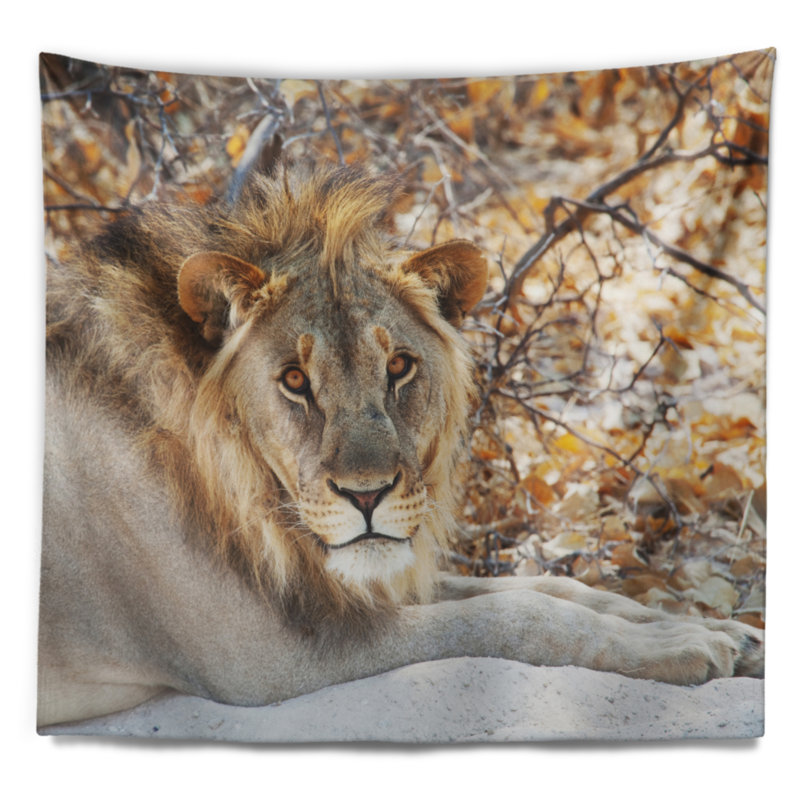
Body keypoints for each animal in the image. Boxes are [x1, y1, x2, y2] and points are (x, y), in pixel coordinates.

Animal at [39, 162, 763, 729]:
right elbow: (516, 616)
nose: (368, 497)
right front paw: (683, 645)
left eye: (399, 367)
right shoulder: (265, 658)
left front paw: (716, 630)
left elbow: (549, 585)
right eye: (294, 380)